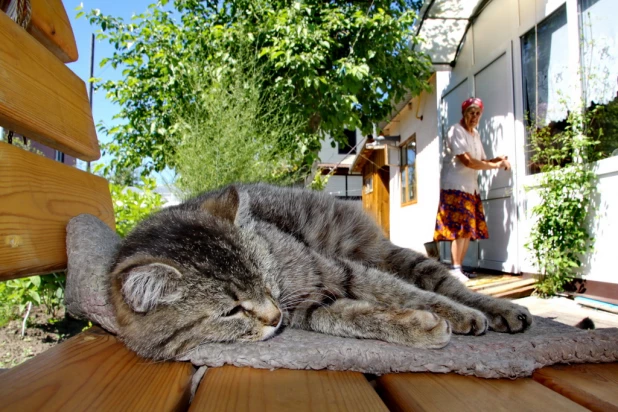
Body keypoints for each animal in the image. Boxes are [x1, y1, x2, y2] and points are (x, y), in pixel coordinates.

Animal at [108, 183, 532, 360]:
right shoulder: (306, 307)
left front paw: (453, 315)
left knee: (441, 282)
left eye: (265, 277)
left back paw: (497, 310)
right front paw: (413, 326)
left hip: (384, 254)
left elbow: (412, 295)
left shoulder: (334, 270)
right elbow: (349, 318)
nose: (275, 317)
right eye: (231, 311)